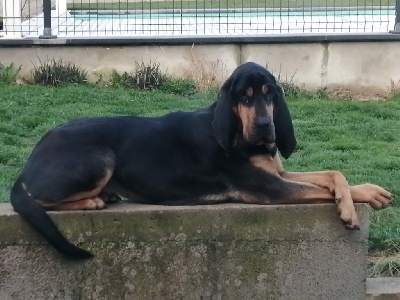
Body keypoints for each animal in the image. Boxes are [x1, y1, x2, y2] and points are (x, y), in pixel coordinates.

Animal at [10, 61, 392, 258]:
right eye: (245, 97)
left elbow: (333, 174)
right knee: (38, 198)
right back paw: (92, 201)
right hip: (99, 157)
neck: (241, 136)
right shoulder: (268, 188)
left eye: (270, 94)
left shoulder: (277, 173)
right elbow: (327, 185)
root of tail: (30, 160)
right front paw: (347, 209)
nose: (266, 126)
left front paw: (369, 192)